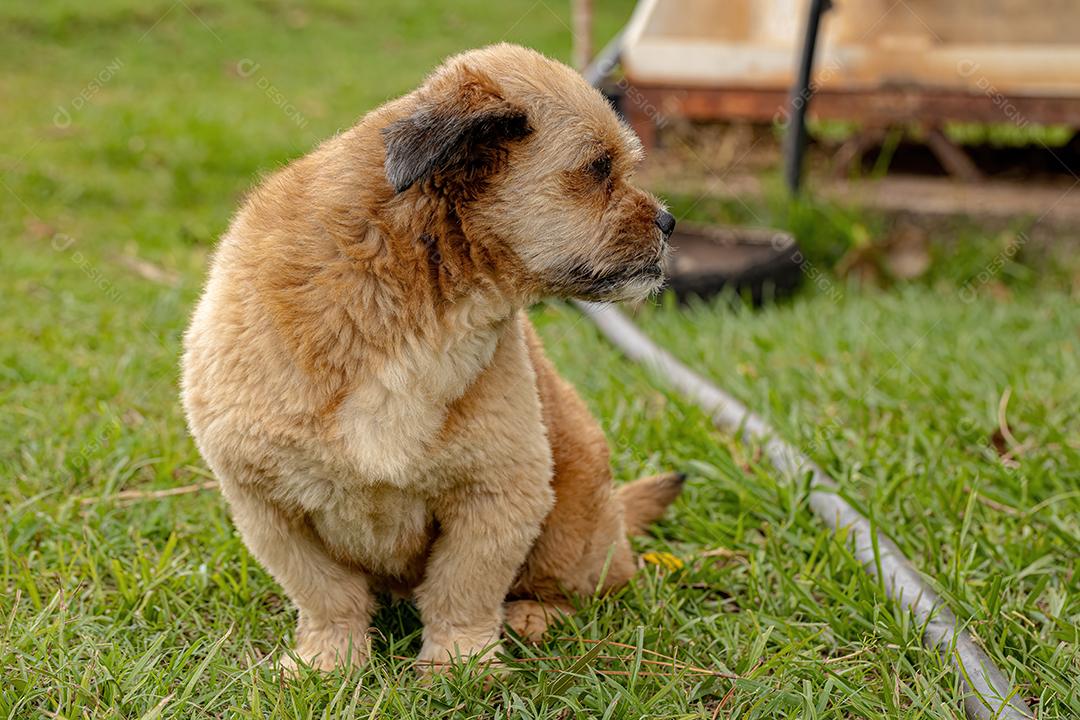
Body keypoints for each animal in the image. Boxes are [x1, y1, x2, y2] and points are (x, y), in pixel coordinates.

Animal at [180, 43, 678, 677]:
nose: (670, 221)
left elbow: (462, 590)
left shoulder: (498, 494)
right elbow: (327, 595)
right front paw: (328, 661)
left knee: (584, 585)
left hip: (571, 521)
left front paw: (461, 666)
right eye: (598, 170)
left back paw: (534, 615)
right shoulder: (270, 508)